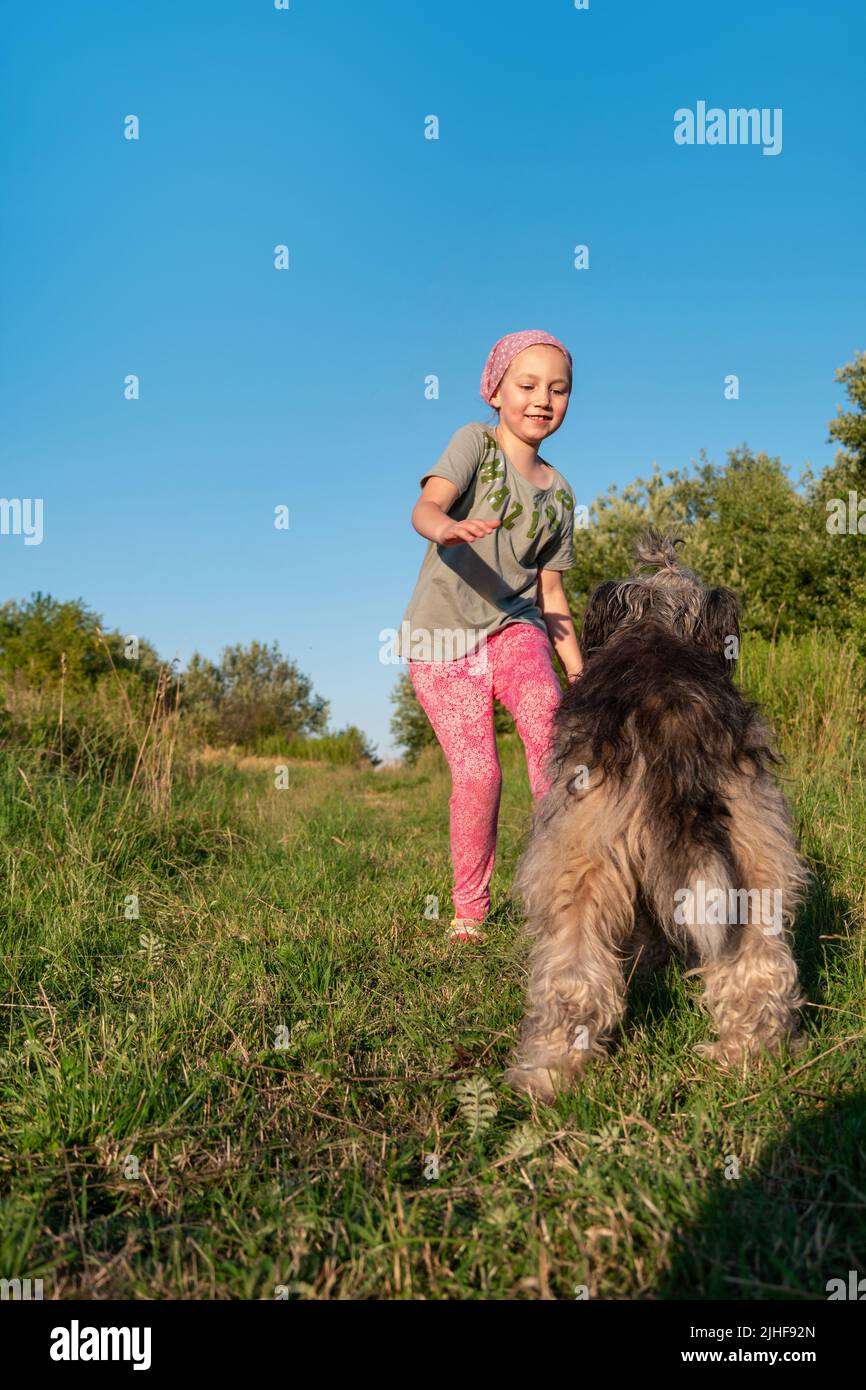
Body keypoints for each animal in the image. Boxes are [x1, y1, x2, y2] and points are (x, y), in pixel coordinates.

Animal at [505, 533, 811, 1106]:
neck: (656, 623)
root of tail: (671, 710)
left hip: (580, 856)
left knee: (573, 976)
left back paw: (546, 1075)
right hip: (753, 848)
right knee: (757, 963)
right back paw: (748, 1056)